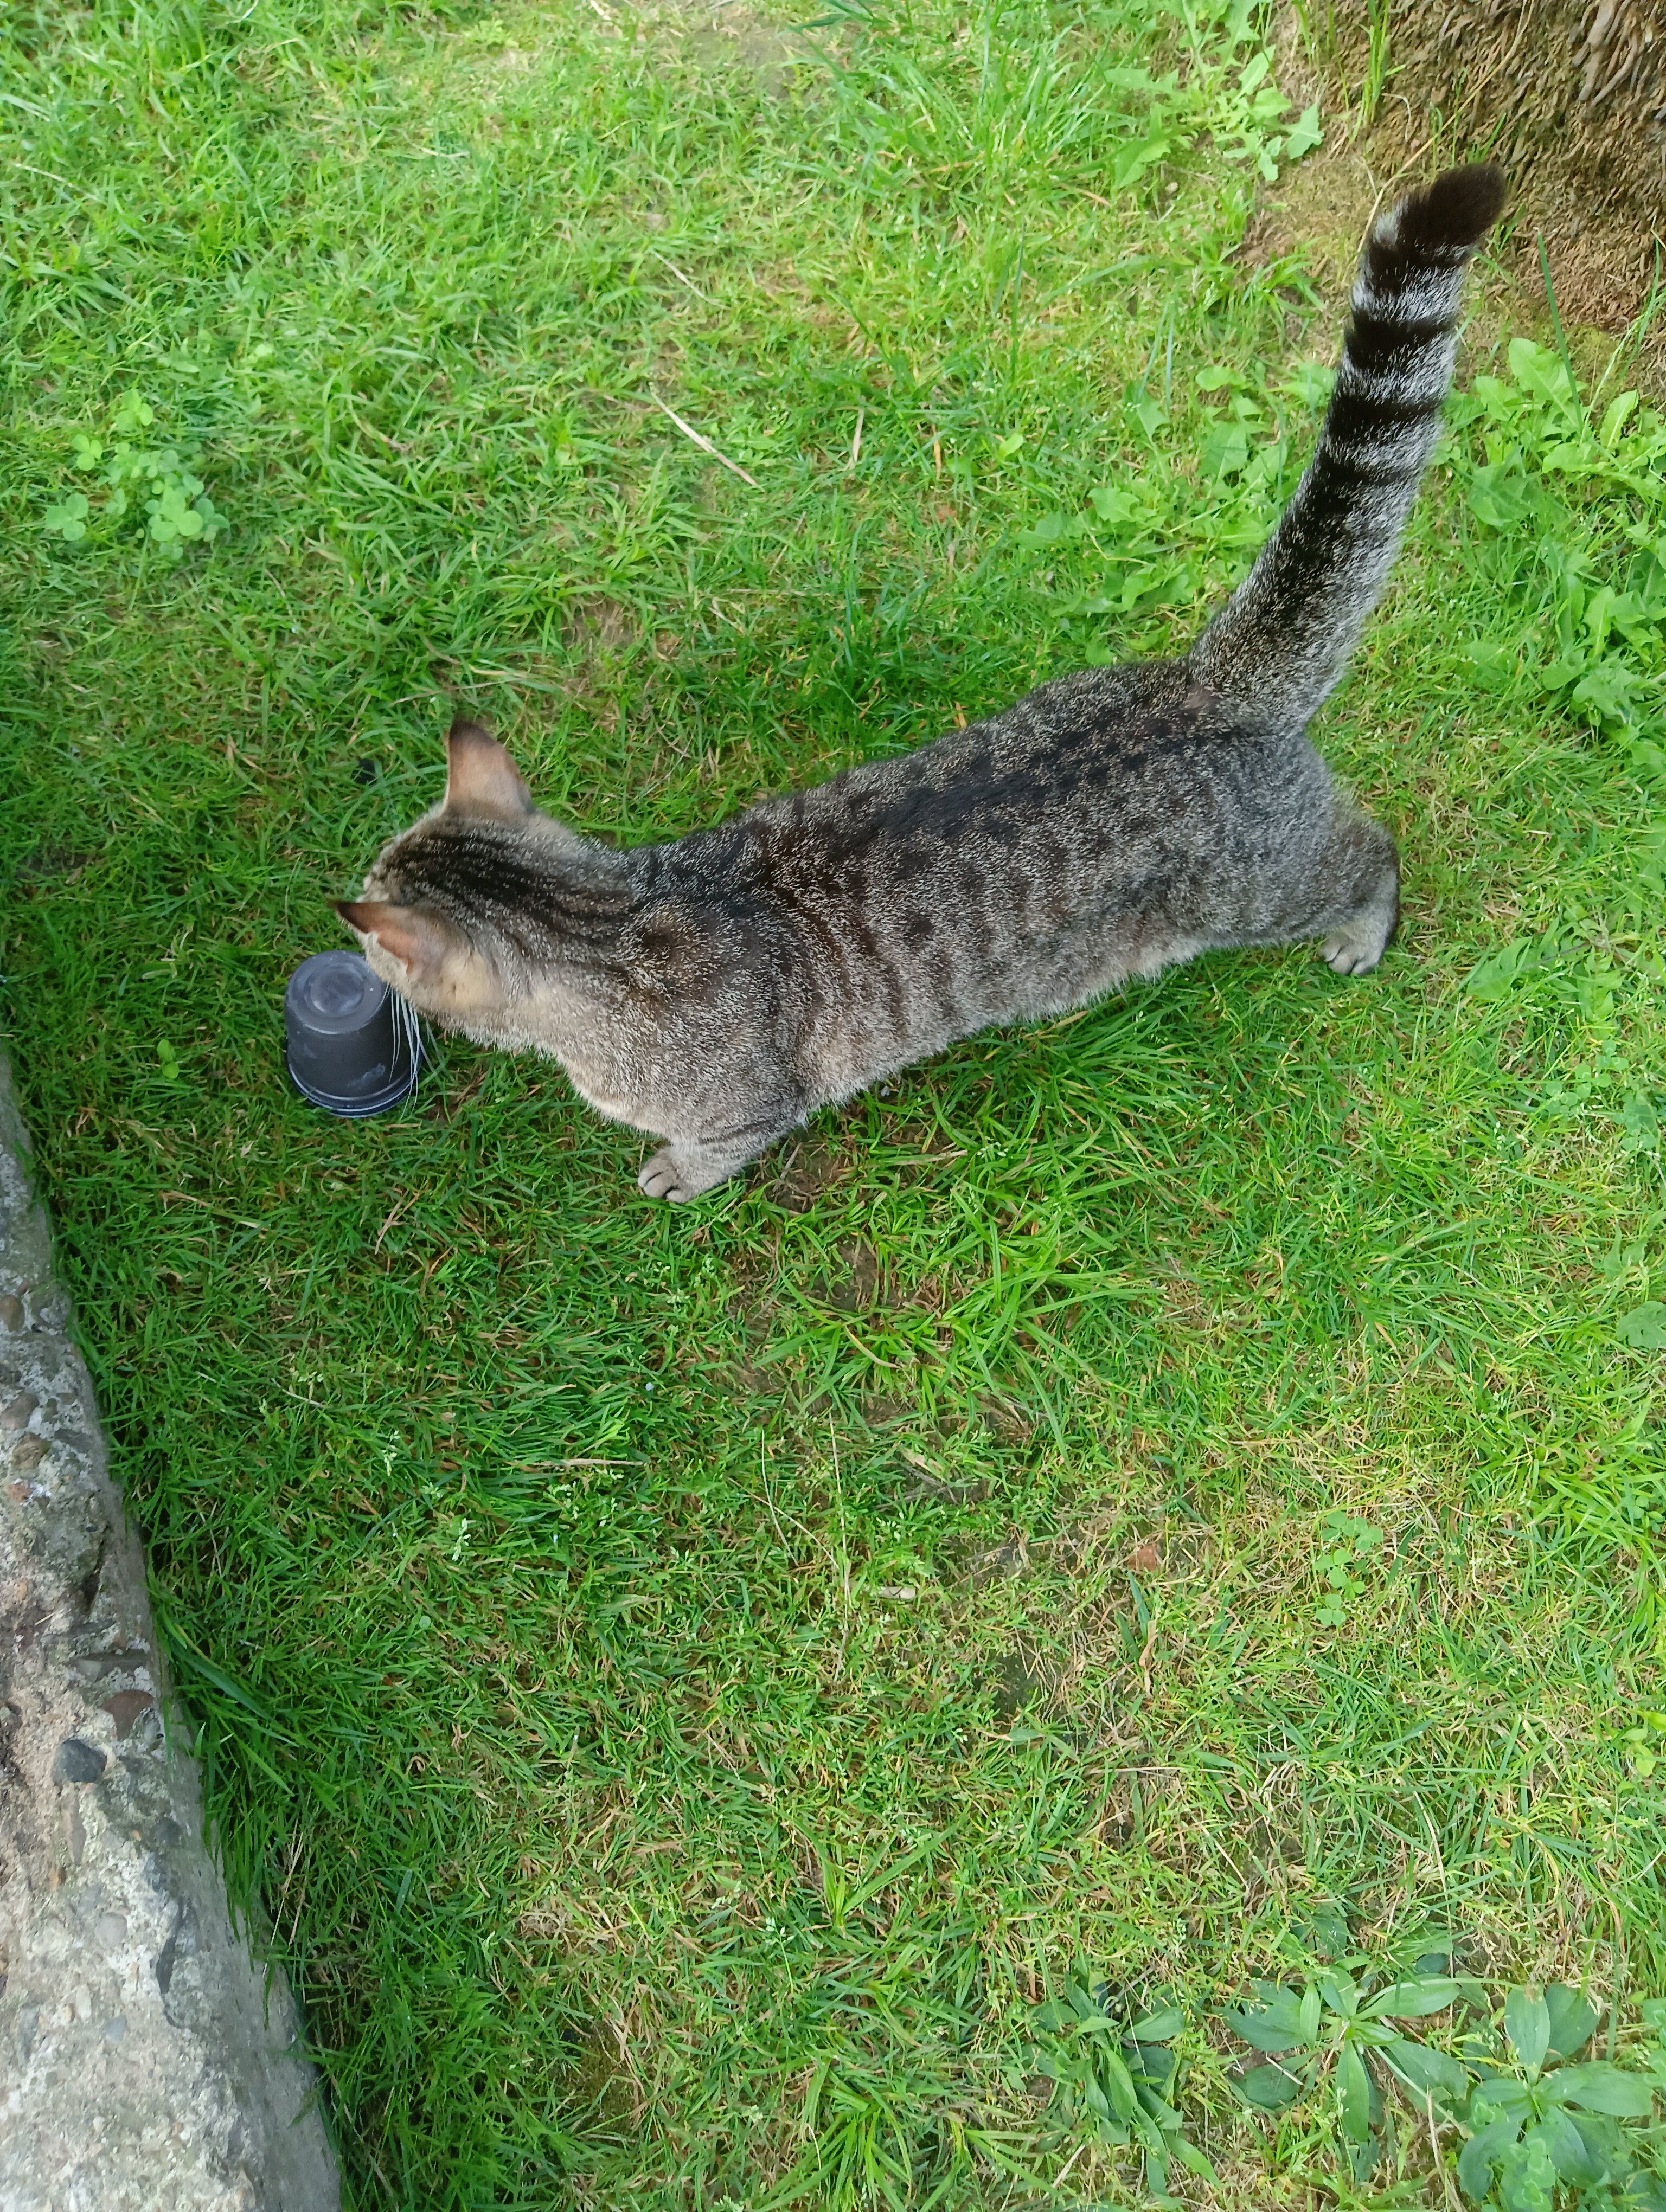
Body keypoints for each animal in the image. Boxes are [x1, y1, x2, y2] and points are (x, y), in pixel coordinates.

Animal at [338, 163, 1506, 1201]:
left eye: (376, 942)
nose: (347, 944)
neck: (608, 920)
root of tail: (1212, 685)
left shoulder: (749, 1108)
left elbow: (715, 1151)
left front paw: (676, 1175)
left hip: (1263, 889)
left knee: (1371, 854)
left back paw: (1361, 931)